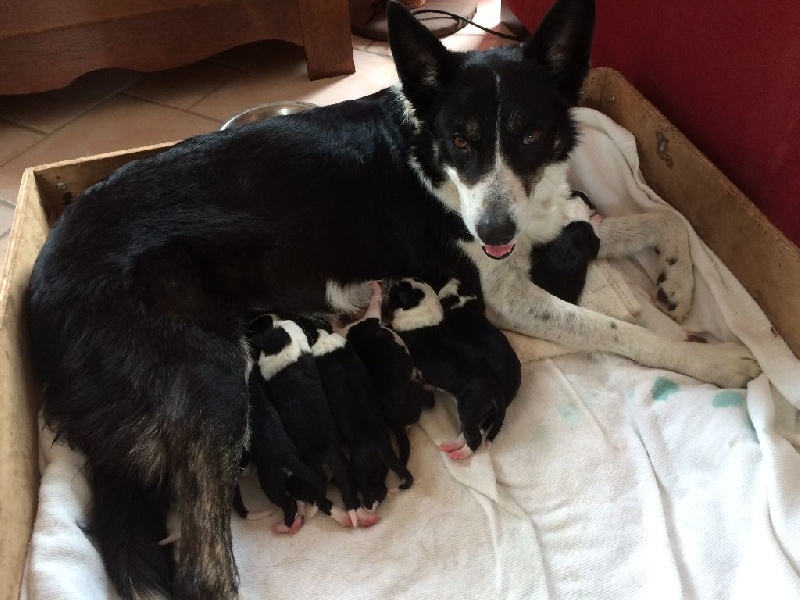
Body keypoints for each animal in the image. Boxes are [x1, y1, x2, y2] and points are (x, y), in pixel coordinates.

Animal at [26, 0, 760, 596]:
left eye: (528, 134)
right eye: (462, 139)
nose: (493, 233)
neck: (429, 151)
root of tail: (37, 291)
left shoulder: (544, 224)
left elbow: (667, 221)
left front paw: (678, 282)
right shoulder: (505, 292)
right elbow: (619, 329)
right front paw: (715, 359)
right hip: (209, 383)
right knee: (203, 570)